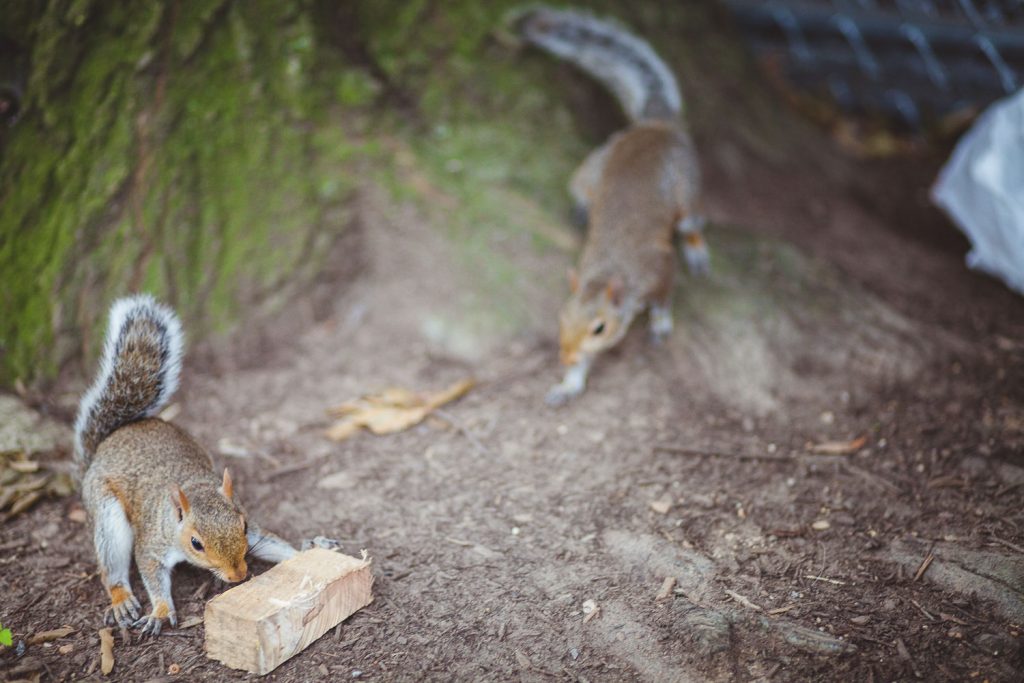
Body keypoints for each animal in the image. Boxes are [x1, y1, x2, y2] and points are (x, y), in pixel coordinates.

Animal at [512, 6, 712, 405]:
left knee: (692, 225)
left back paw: (698, 251)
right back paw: (580, 210)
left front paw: (660, 324)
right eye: (561, 316)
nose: (564, 355)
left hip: (686, 192)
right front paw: (568, 383)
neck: (609, 273)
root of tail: (655, 127)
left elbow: (665, 300)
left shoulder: (661, 271)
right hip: (595, 164)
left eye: (599, 328)